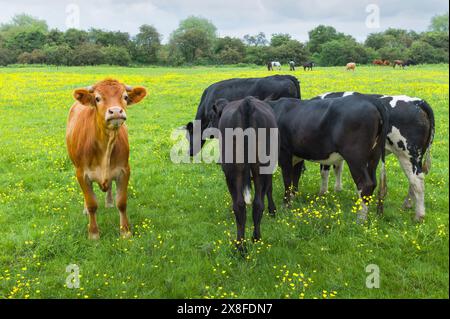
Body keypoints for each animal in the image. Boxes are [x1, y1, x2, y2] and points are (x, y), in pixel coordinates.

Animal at [66, 79, 147, 240]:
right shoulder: (81, 173)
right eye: (97, 98)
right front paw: (93, 233)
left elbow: (122, 202)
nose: (115, 111)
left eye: (125, 97)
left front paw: (125, 231)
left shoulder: (124, 170)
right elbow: (91, 203)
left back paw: (109, 202)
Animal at [210, 97, 280, 252]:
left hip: (232, 170)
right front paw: (272, 210)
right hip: (260, 166)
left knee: (240, 205)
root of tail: (246, 103)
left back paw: (241, 245)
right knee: (255, 203)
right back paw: (252, 240)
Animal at [314, 92, 434, 222]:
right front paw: (338, 189)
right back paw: (407, 205)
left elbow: (324, 172)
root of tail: (418, 102)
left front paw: (322, 193)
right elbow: (338, 168)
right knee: (414, 179)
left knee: (417, 180)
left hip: (406, 153)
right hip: (417, 156)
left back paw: (418, 216)